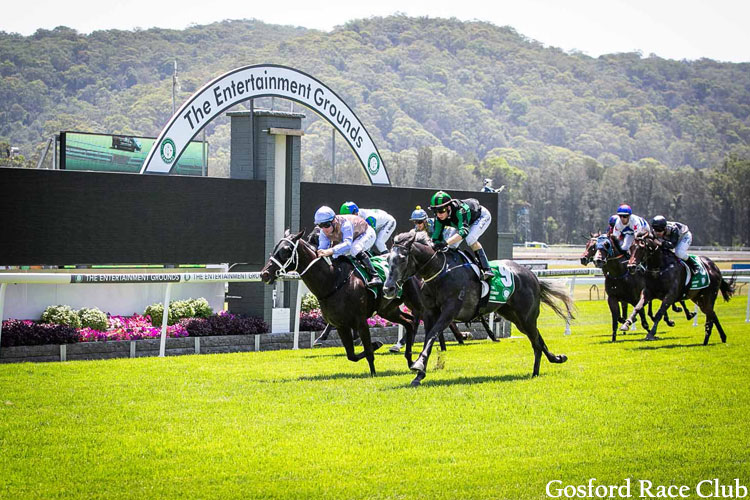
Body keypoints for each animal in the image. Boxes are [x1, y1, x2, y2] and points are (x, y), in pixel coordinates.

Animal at [262, 230, 418, 376]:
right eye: (275, 248)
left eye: (286, 250)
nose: (264, 274)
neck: (333, 281)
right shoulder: (340, 324)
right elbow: (351, 355)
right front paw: (377, 344)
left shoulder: (361, 321)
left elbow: (368, 351)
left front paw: (373, 373)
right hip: (387, 310)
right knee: (409, 322)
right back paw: (409, 359)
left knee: (414, 321)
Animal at [384, 231, 572, 386]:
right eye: (387, 259)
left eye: (402, 258)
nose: (388, 288)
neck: (439, 270)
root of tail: (531, 274)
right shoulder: (430, 312)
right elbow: (428, 338)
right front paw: (419, 374)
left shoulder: (450, 311)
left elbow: (432, 335)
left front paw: (418, 365)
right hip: (514, 315)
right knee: (537, 338)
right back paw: (555, 359)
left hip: (526, 316)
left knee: (536, 342)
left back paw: (536, 371)